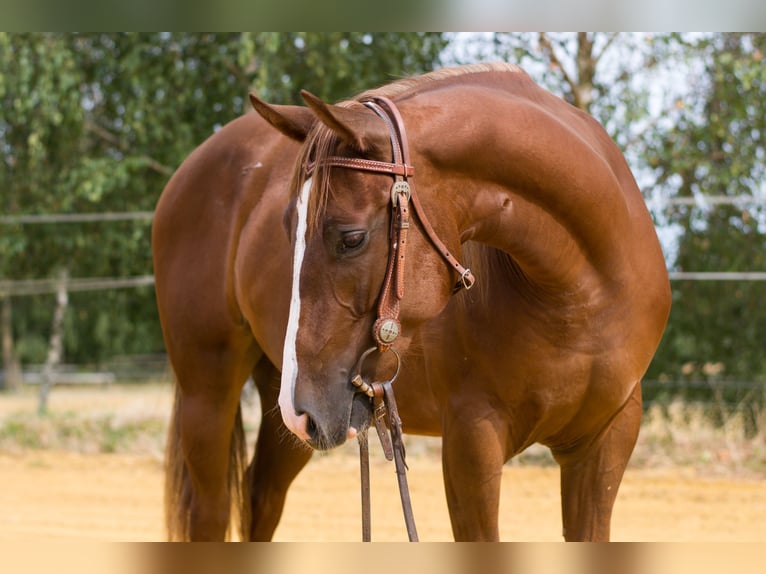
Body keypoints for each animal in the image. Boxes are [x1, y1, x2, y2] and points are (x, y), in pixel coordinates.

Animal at [153, 64, 668, 544]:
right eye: (287, 230)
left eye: (351, 238)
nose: (304, 407)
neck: (577, 297)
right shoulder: (471, 442)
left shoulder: (606, 442)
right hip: (216, 394)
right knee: (211, 512)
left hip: (288, 411)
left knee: (262, 498)